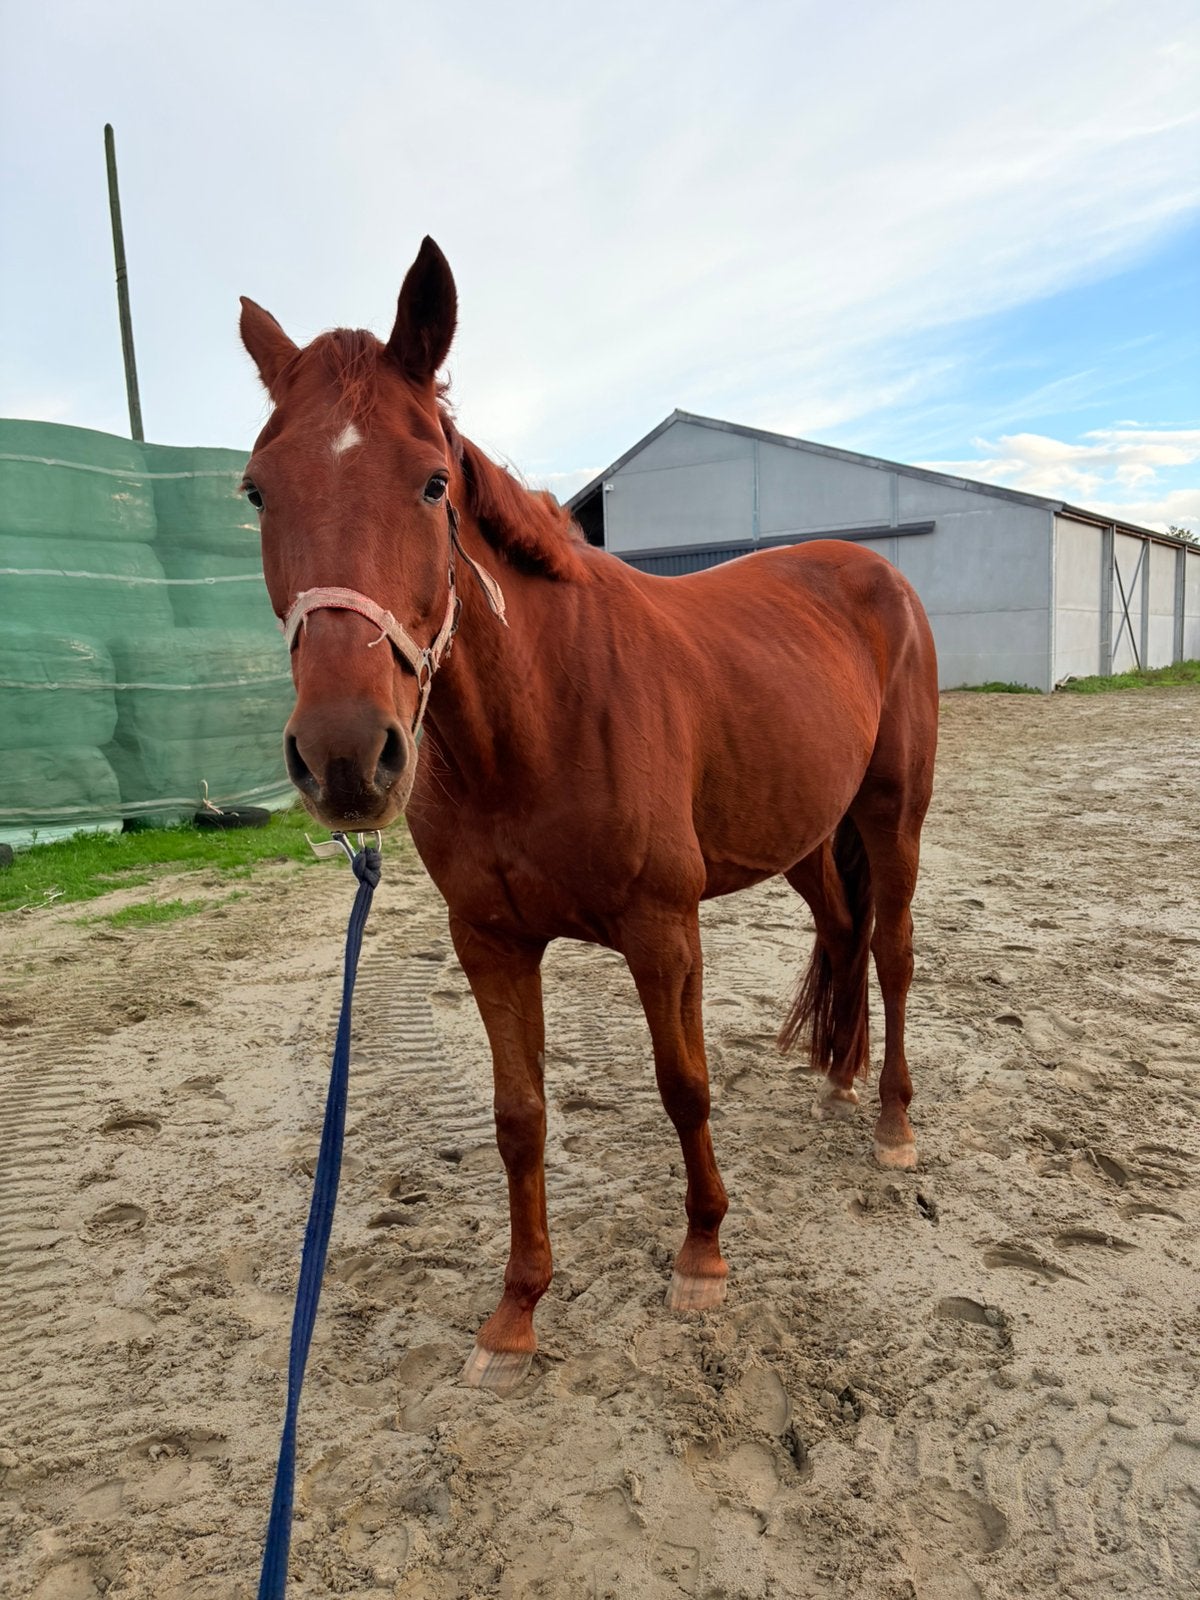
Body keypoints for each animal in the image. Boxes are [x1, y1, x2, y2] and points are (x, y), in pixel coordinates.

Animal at [239, 237, 939, 1394]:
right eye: (257, 491)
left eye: (433, 481)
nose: (345, 756)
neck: (541, 718)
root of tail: (872, 568)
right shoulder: (489, 942)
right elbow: (519, 1116)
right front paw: (517, 1308)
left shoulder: (664, 929)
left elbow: (683, 1085)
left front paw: (702, 1253)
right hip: (799, 832)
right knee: (842, 934)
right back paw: (836, 1084)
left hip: (891, 816)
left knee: (889, 949)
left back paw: (889, 1121)